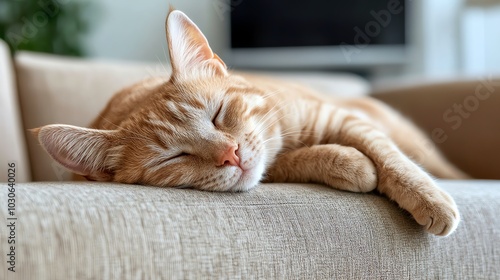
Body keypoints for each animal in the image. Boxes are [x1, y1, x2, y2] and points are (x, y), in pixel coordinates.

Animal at [33, 9, 466, 236]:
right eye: (173, 158)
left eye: (218, 113)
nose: (231, 154)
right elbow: (296, 162)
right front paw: (349, 164)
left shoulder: (339, 117)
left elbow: (390, 157)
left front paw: (429, 197)